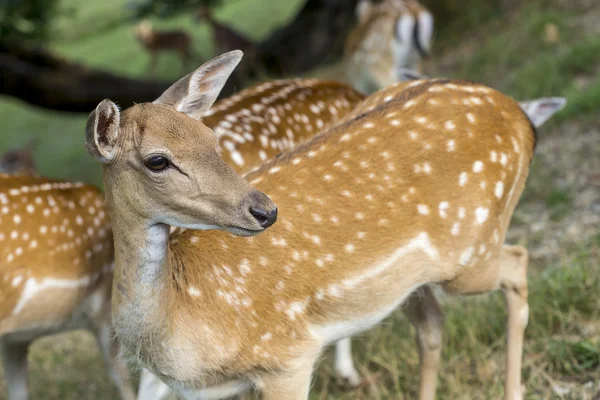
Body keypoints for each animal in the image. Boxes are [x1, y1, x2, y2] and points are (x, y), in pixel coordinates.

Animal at [83, 50, 548, 400]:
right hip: (411, 279)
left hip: (472, 249)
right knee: (432, 323)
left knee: (518, 262)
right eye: (157, 160)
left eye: (210, 139)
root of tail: (519, 114)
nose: (264, 210)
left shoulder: (286, 356)